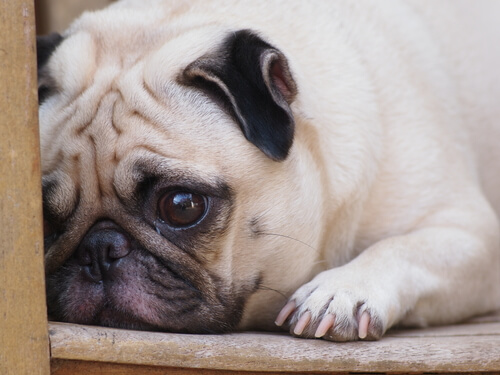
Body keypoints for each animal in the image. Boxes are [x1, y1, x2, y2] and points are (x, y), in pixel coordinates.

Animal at [38, 0, 500, 342]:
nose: (99, 250)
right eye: (43, 219)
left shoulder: (473, 235)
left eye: (182, 206)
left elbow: (400, 248)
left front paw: (343, 290)